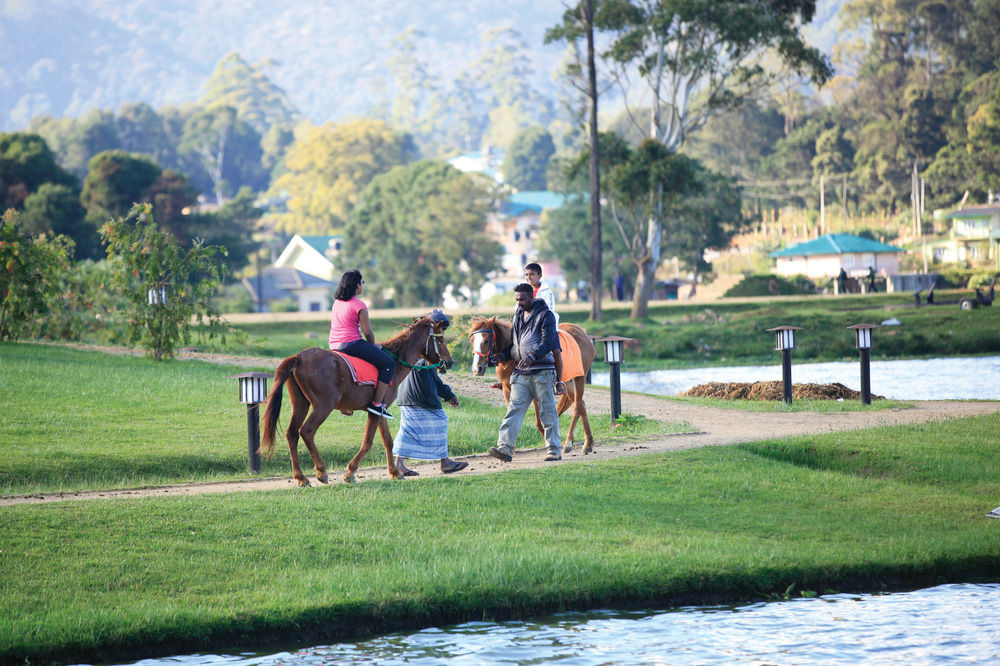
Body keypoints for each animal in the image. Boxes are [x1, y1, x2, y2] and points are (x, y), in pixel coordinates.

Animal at [260, 316, 452, 482]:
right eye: (441, 340)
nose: (450, 362)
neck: (395, 363)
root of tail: (298, 357)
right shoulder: (374, 412)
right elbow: (368, 442)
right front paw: (351, 472)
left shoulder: (380, 411)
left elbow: (388, 441)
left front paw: (395, 472)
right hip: (323, 406)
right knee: (306, 431)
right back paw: (321, 471)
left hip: (300, 404)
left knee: (292, 434)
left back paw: (300, 477)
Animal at [468, 316, 592, 452]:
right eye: (472, 340)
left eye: (486, 340)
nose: (477, 369)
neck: (511, 360)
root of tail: (583, 333)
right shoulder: (507, 389)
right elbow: (511, 416)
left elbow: (539, 422)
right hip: (568, 383)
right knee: (580, 404)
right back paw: (588, 443)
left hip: (580, 378)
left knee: (577, 406)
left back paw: (570, 442)